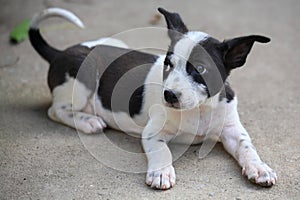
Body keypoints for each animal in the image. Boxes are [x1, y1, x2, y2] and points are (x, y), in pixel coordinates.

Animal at [28, 7, 276, 189]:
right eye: (168, 63)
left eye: (201, 69)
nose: (169, 95)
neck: (200, 109)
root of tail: (60, 53)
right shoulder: (153, 131)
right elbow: (161, 150)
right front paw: (161, 172)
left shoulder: (232, 129)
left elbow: (246, 147)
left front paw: (259, 167)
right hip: (82, 77)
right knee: (56, 110)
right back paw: (88, 121)